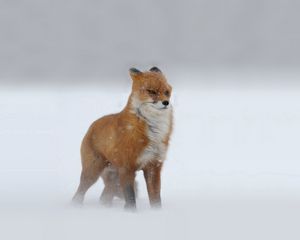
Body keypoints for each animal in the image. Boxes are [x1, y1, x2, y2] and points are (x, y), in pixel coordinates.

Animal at [71, 66, 172, 208]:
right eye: (152, 91)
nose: (166, 102)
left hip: (113, 178)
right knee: (79, 193)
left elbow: (156, 198)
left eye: (166, 92)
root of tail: (92, 126)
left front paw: (157, 212)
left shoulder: (154, 165)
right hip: (93, 172)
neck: (152, 131)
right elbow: (130, 197)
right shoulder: (127, 167)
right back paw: (75, 207)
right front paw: (130, 212)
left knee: (104, 197)